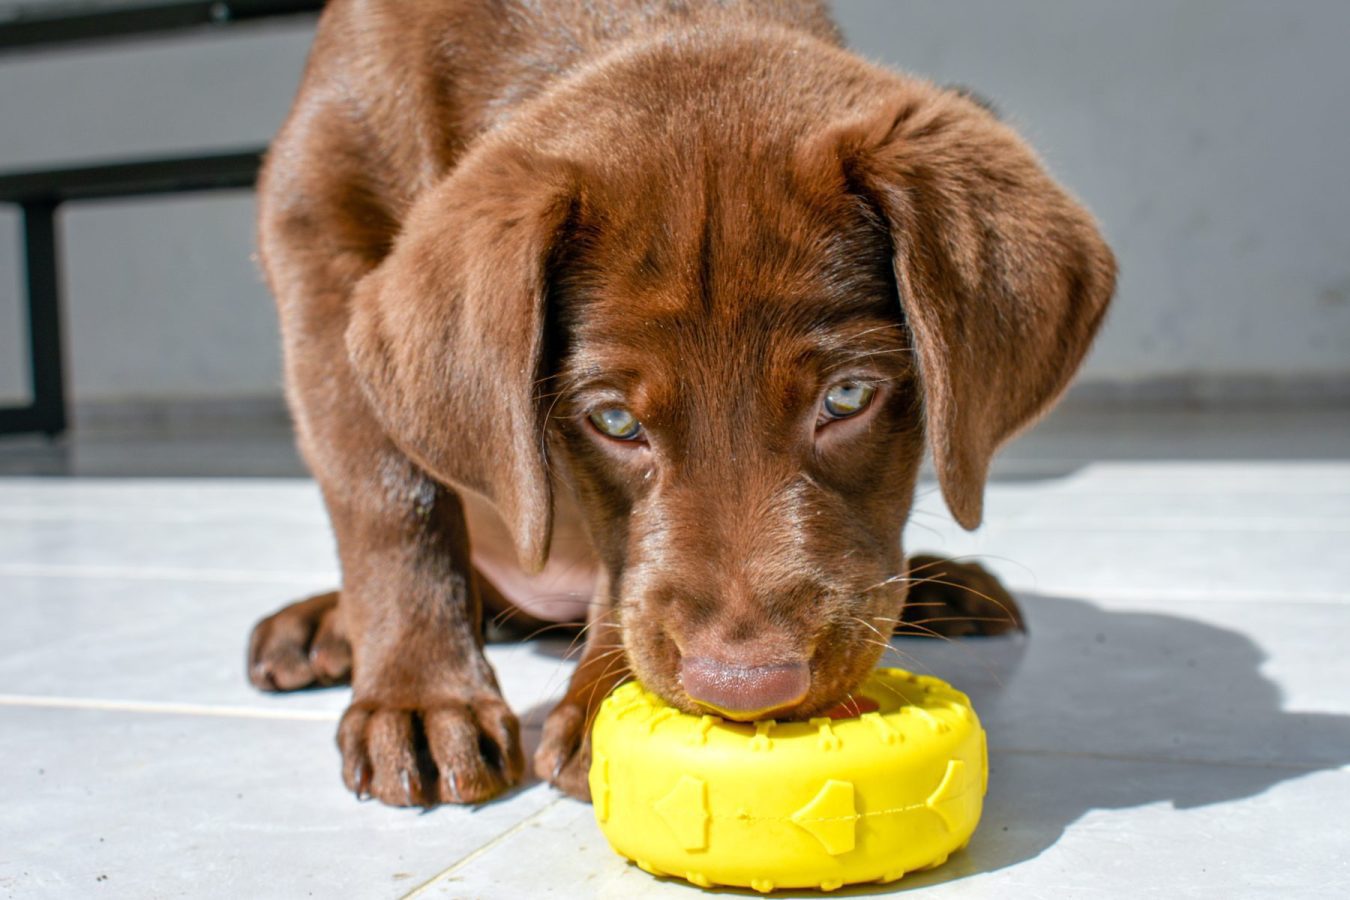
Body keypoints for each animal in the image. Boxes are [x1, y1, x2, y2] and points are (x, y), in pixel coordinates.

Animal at [248, 0, 1112, 809]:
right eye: (614, 422)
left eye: (847, 397)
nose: (746, 686)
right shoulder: (315, 221)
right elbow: (388, 493)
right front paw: (423, 697)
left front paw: (598, 692)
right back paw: (321, 624)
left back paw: (948, 585)